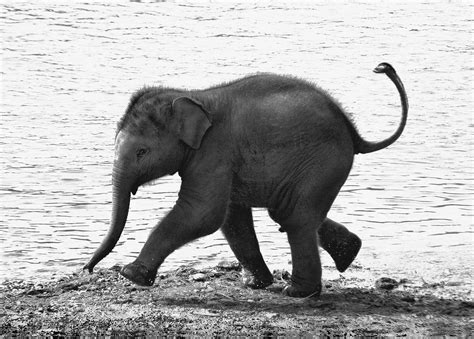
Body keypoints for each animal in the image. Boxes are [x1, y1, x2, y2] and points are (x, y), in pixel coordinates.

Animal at [84, 63, 408, 298]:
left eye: (141, 152)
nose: (87, 268)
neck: (193, 95)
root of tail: (354, 134)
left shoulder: (215, 151)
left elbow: (203, 213)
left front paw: (131, 275)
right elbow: (231, 216)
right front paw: (254, 284)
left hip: (322, 163)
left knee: (295, 217)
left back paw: (297, 292)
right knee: (290, 213)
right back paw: (348, 252)